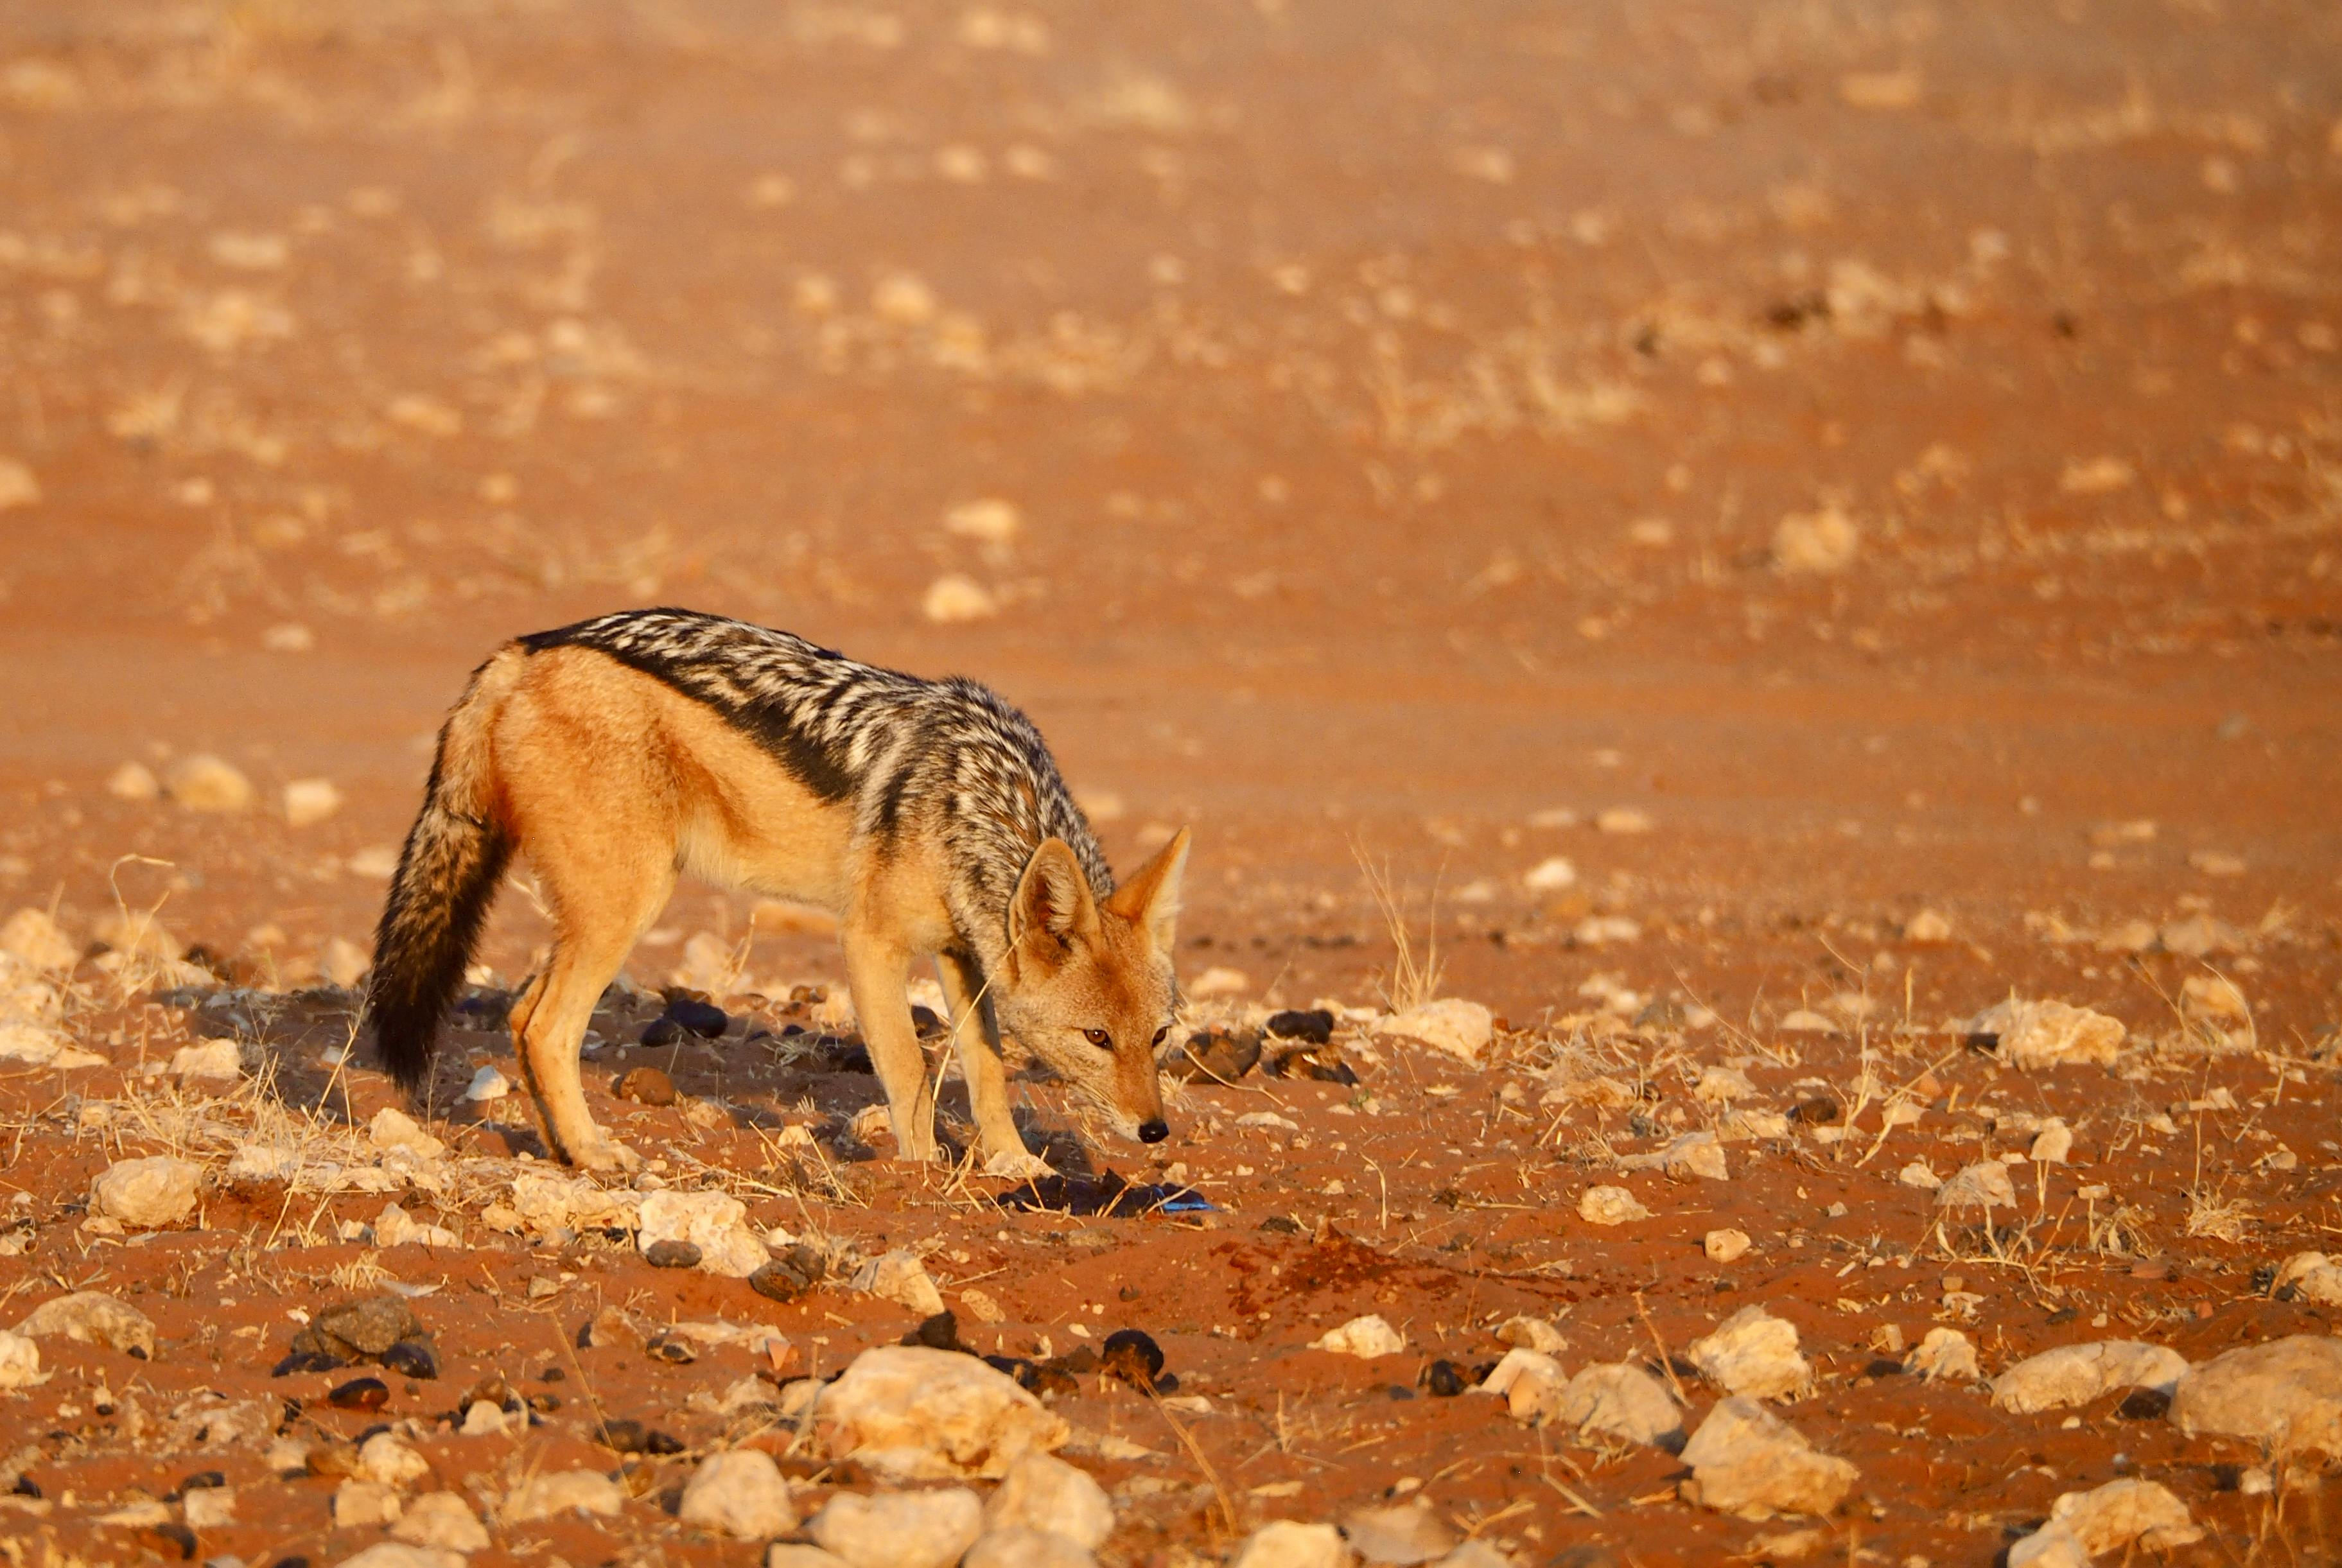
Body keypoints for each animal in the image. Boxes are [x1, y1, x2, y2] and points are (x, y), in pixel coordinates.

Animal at [364, 607, 1189, 1177]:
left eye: (1157, 1038)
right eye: (1096, 1038)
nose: (1154, 1130)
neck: (976, 798)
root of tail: (525, 647)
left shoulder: (964, 956)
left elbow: (985, 1071)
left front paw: (1012, 1163)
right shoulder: (870, 942)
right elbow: (911, 1073)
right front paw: (923, 1172)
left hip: (595, 914)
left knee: (517, 1015)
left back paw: (565, 1150)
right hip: (629, 906)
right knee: (543, 1027)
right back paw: (596, 1154)